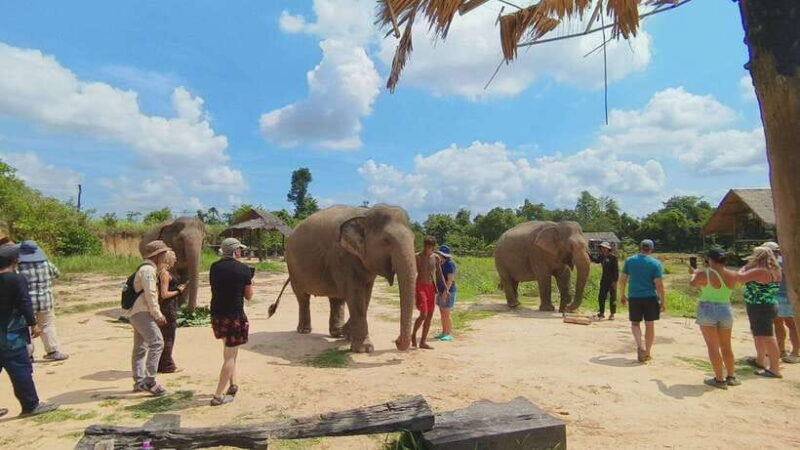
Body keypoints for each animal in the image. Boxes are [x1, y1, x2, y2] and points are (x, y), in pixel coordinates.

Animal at [280, 204, 417, 353]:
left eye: (414, 238)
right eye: (386, 240)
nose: (397, 341)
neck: (365, 213)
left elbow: (366, 296)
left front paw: (348, 336)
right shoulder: (342, 257)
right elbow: (355, 295)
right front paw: (364, 349)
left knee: (336, 299)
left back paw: (337, 333)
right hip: (292, 267)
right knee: (303, 297)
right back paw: (304, 331)